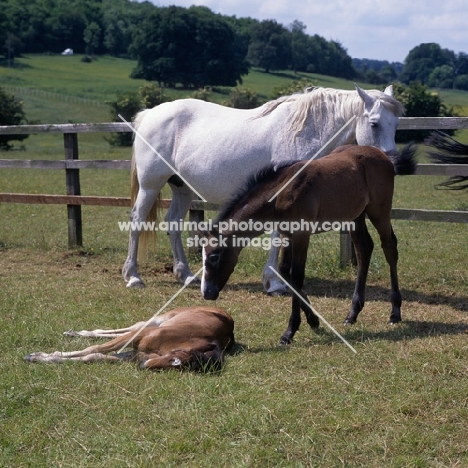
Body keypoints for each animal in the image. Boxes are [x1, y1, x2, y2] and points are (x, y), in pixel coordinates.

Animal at [122, 84, 404, 292]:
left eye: (397, 124)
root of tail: (149, 114)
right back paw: (133, 276)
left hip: (182, 188)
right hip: (150, 185)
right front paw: (274, 281)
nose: (392, 164)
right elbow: (277, 237)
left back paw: (186, 275)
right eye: (374, 123)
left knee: (173, 223)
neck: (306, 132)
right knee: (137, 221)